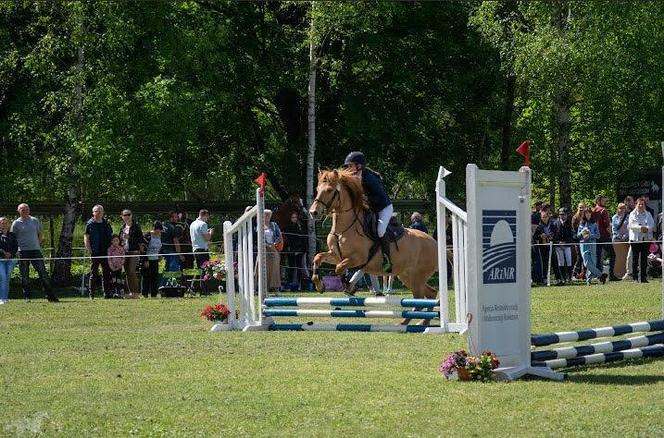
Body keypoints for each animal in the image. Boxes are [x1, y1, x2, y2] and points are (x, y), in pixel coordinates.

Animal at [308, 168, 440, 326]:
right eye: (317, 189)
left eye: (329, 190)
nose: (313, 212)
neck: (344, 228)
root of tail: (434, 242)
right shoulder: (335, 255)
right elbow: (318, 257)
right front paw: (319, 285)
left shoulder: (358, 258)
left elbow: (339, 268)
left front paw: (348, 285)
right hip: (407, 275)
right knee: (428, 294)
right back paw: (416, 322)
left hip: (417, 276)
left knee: (421, 297)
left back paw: (412, 322)